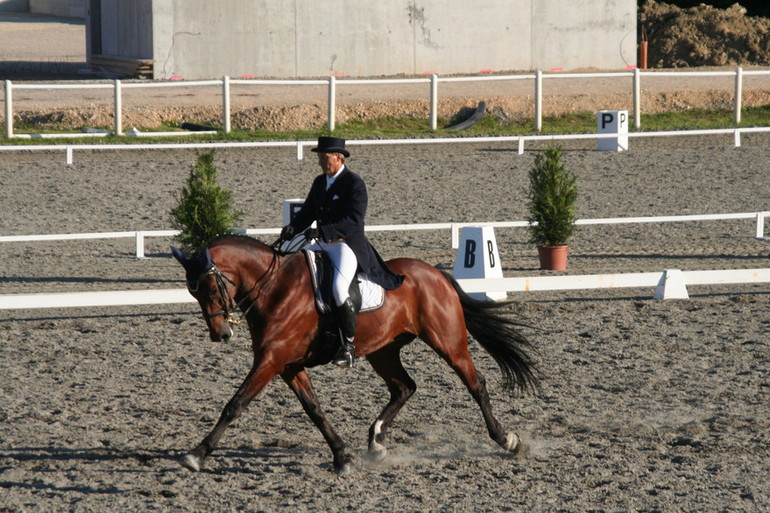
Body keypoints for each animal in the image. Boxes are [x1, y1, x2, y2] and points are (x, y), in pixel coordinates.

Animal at [171, 234, 536, 474]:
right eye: (192, 290)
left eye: (209, 286)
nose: (220, 334)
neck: (275, 288)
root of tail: (435, 274)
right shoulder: (287, 365)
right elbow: (315, 410)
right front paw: (342, 456)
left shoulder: (271, 360)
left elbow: (236, 404)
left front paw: (196, 454)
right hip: (383, 350)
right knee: (404, 387)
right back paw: (376, 442)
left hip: (448, 342)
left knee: (476, 384)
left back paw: (507, 440)